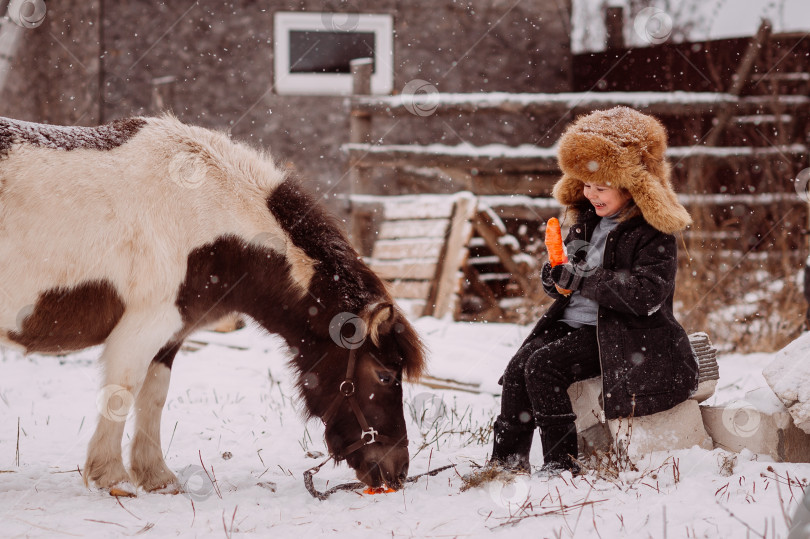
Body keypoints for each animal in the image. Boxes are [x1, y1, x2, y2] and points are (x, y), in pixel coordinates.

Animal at [0, 116, 426, 496]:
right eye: (385, 374)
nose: (398, 471)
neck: (201, 216)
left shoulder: (170, 335)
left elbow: (153, 397)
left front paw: (156, 477)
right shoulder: (142, 328)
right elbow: (122, 392)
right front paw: (111, 477)